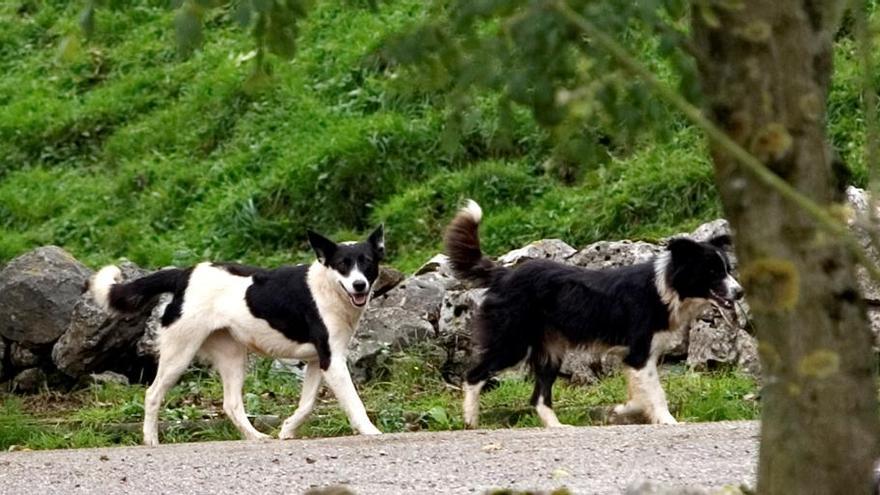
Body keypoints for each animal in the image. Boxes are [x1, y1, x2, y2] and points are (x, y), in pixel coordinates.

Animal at [88, 227, 384, 448]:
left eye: (367, 263)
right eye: (342, 265)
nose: (359, 285)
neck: (330, 287)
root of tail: (184, 275)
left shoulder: (316, 361)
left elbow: (308, 403)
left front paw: (287, 429)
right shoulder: (332, 360)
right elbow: (354, 402)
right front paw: (370, 431)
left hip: (232, 356)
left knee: (231, 404)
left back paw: (255, 436)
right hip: (180, 353)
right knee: (152, 394)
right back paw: (150, 440)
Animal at [446, 201, 744, 426]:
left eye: (727, 269)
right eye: (712, 272)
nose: (740, 292)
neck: (667, 287)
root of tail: (503, 273)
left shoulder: (637, 355)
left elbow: (640, 392)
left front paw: (623, 410)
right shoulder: (639, 351)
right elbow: (656, 392)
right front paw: (668, 421)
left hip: (551, 349)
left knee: (539, 397)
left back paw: (558, 428)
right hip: (513, 341)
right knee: (474, 375)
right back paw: (471, 421)